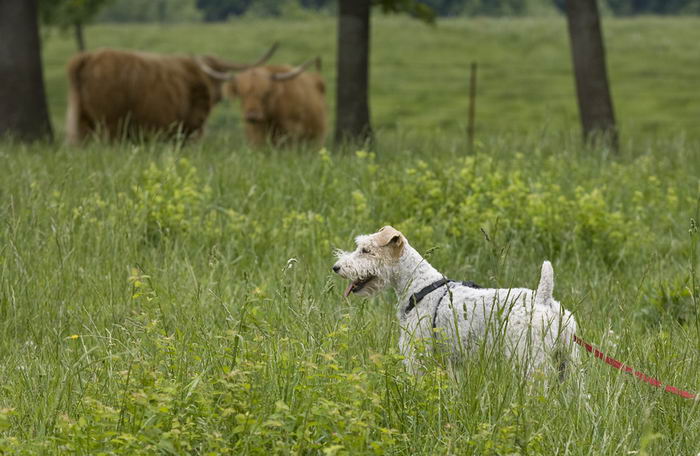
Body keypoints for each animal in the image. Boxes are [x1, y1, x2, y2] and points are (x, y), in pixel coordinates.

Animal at [334, 225, 580, 378]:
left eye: (366, 250)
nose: (336, 267)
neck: (419, 285)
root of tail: (544, 299)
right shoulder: (451, 362)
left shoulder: (417, 354)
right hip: (568, 362)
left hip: (530, 358)